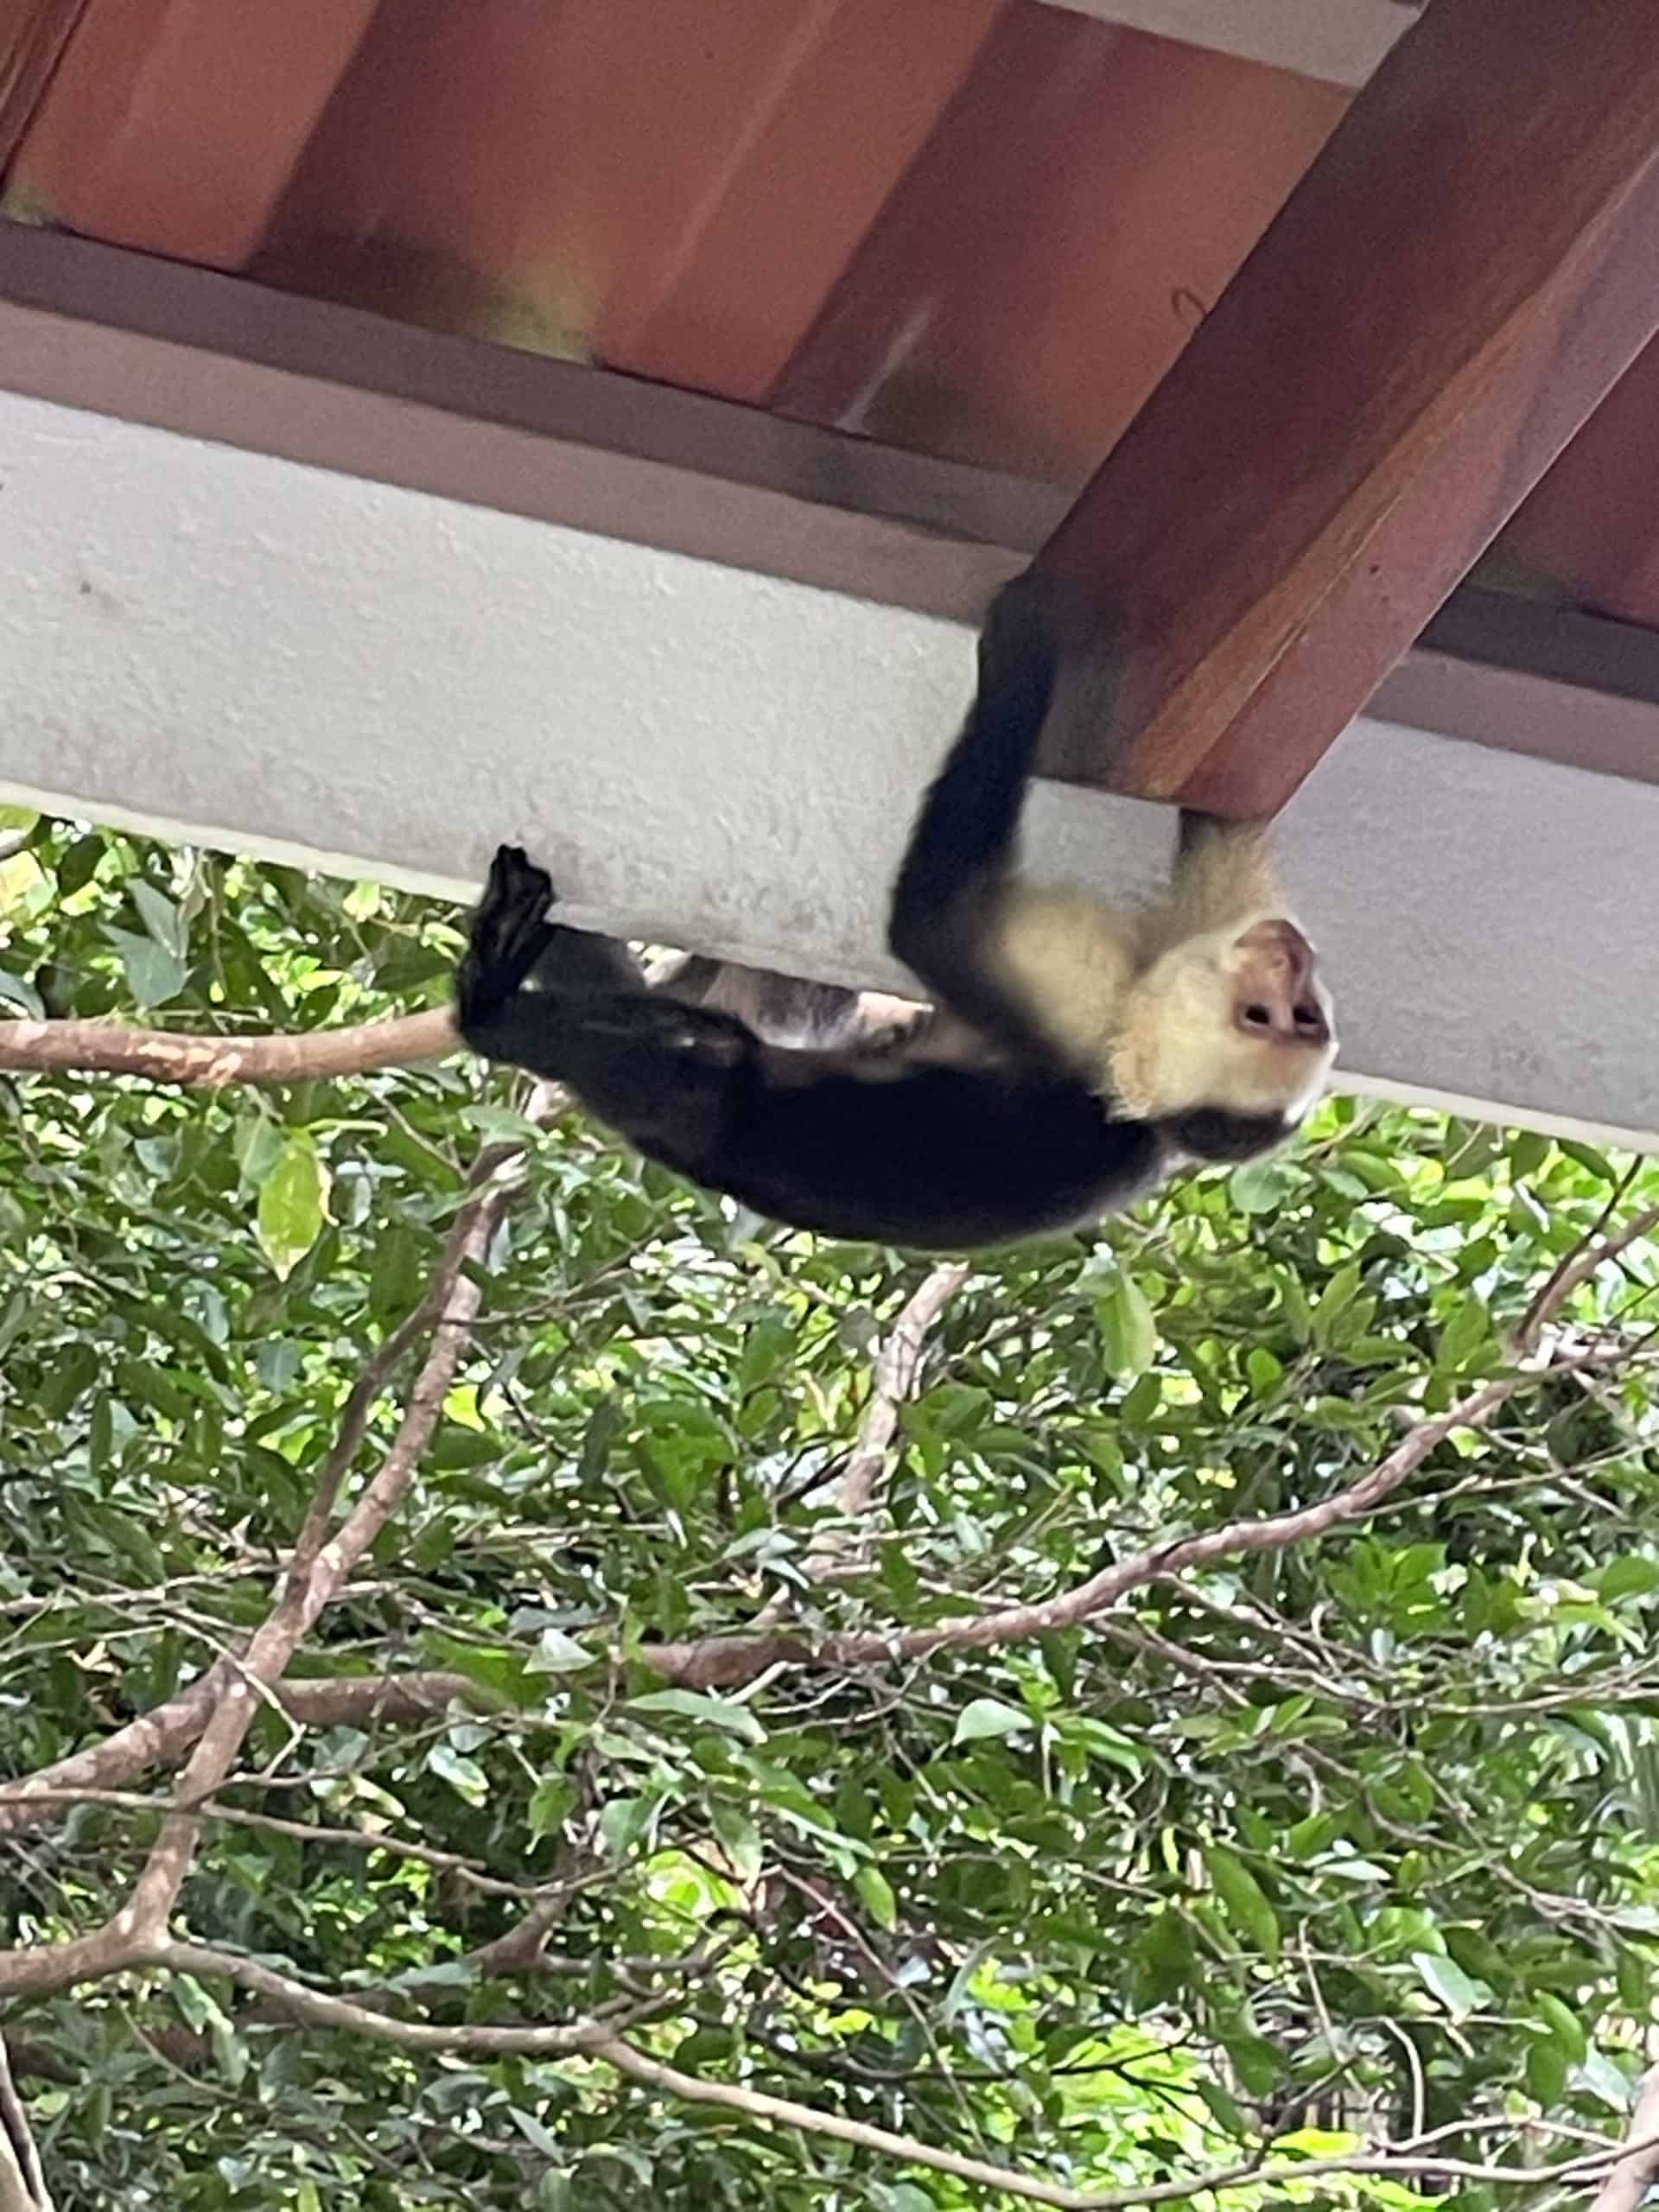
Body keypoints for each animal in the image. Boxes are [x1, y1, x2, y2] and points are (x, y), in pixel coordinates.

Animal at [454, 570, 1336, 1251]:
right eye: (1288, 1015)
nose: (1291, 962)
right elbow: (1223, 829)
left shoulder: (1089, 1017)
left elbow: (932, 920)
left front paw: (1022, 658)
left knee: (698, 1064)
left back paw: (490, 1008)